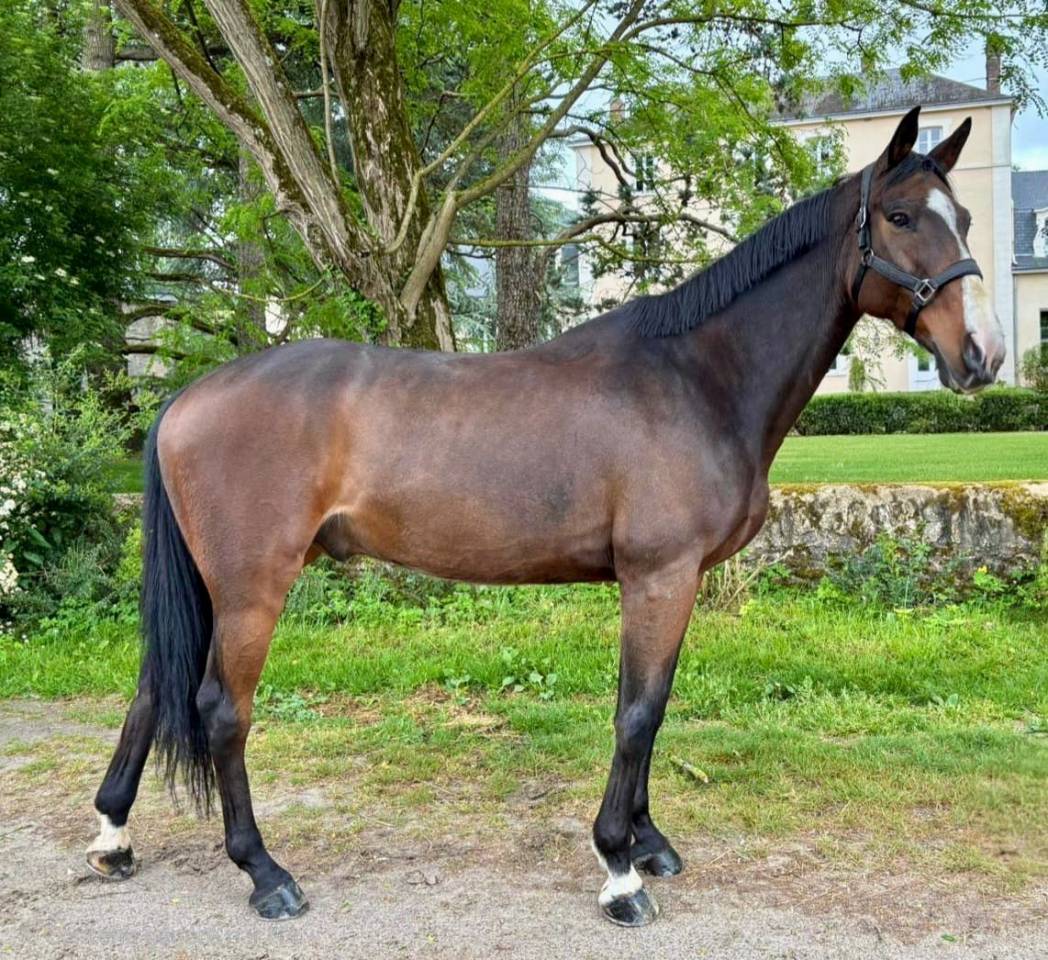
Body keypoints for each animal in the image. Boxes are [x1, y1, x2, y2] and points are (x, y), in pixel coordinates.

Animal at [86, 106, 1004, 926]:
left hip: (215, 586)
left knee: (150, 686)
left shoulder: (672, 585)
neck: (697, 377)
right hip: (252, 588)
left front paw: (647, 843)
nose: (983, 354)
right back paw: (265, 873)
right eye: (899, 216)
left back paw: (113, 837)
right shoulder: (657, 577)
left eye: (962, 217)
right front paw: (619, 871)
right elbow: (637, 715)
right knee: (219, 709)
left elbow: (654, 706)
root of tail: (187, 397)